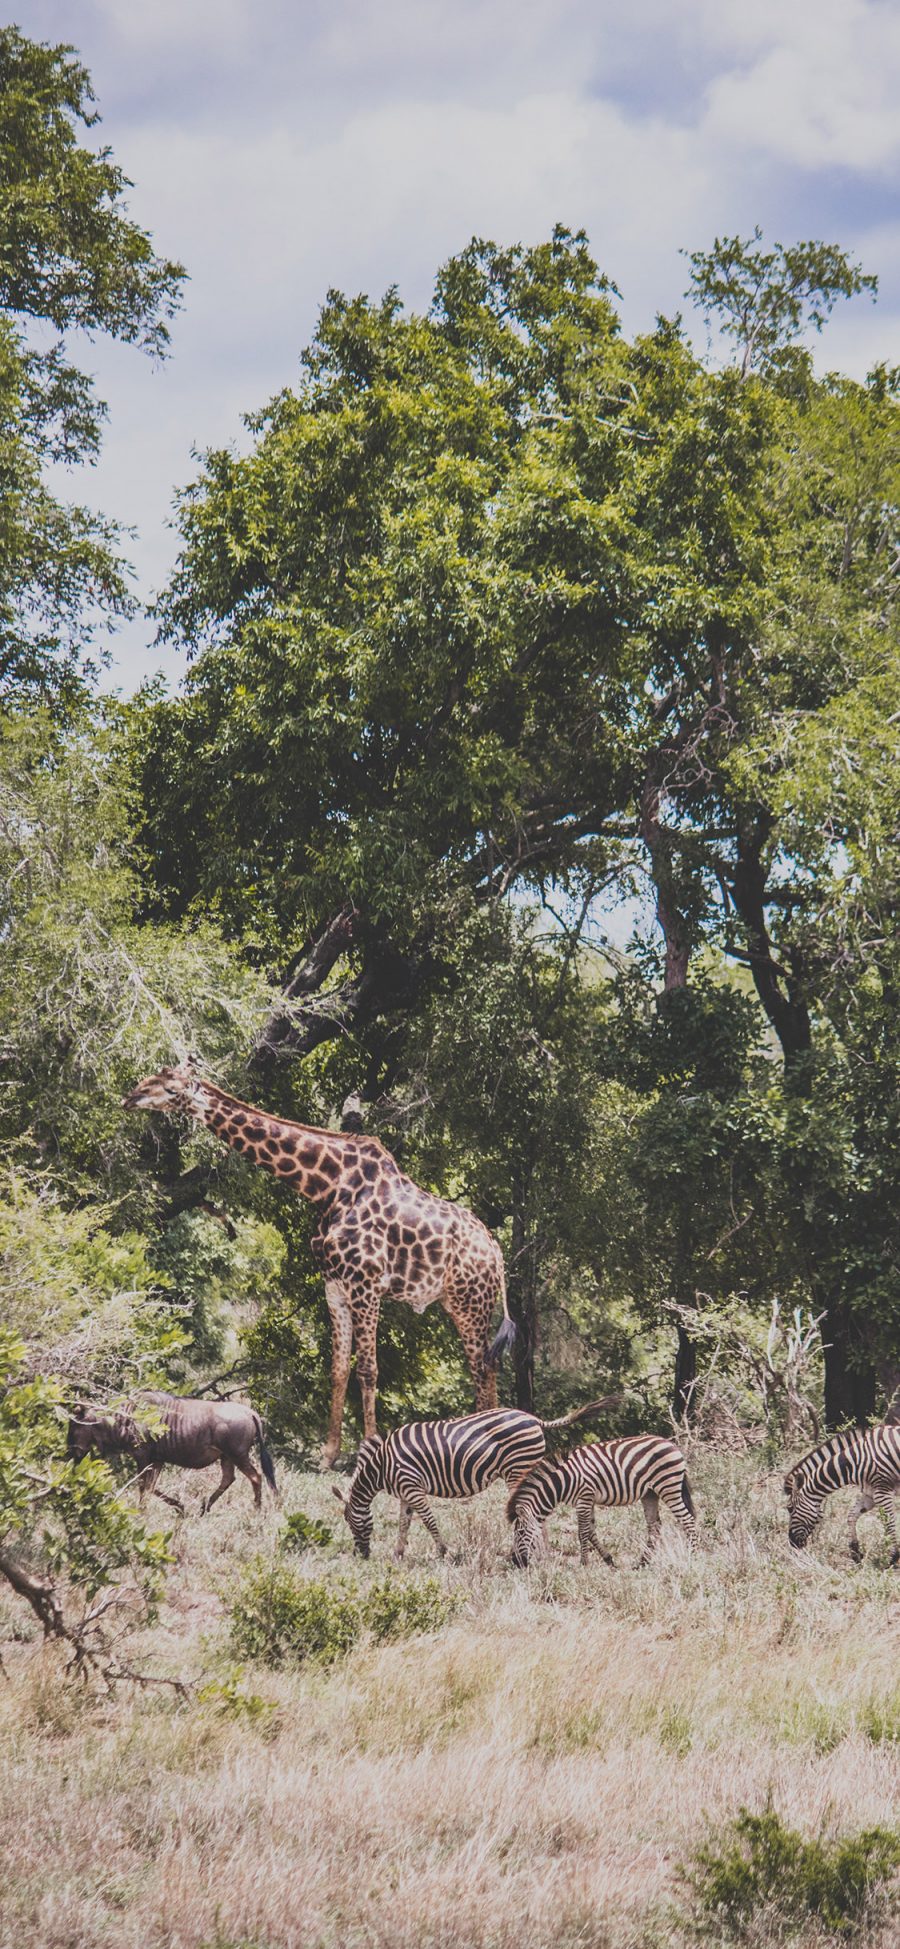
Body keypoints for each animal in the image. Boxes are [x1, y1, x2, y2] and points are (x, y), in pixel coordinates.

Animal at [123, 1068, 514, 1465]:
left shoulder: (366, 1285)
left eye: (171, 1089)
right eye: (154, 1075)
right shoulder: (335, 1286)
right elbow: (338, 1369)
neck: (326, 1186)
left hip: (470, 1302)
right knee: (488, 1364)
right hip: (459, 1301)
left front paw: (368, 1450)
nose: (130, 1097)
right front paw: (328, 1455)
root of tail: (496, 1252)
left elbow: (368, 1370)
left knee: (483, 1366)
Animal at [331, 1395, 619, 1559]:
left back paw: (533, 1553)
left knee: (531, 1512)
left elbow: (429, 1521)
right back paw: (541, 1552)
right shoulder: (405, 1492)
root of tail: (536, 1420)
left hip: (518, 1468)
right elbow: (404, 1524)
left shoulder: (412, 1486)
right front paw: (398, 1553)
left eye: (350, 1521)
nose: (361, 1555)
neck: (381, 1465)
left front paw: (444, 1553)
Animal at [506, 1434, 697, 1566]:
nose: (516, 1562)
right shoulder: (587, 1500)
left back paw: (691, 1556)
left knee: (687, 1520)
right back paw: (642, 1562)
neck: (565, 1480)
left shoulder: (584, 1498)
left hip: (668, 1486)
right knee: (654, 1526)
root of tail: (672, 1445)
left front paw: (584, 1563)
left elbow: (582, 1532)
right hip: (650, 1494)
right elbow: (591, 1531)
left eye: (520, 1533)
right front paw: (608, 1559)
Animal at [779, 1426, 900, 1559]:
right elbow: (851, 1515)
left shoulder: (882, 1492)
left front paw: (894, 1556)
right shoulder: (870, 1494)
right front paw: (855, 1551)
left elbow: (889, 1523)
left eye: (790, 1508)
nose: (792, 1543)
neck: (855, 1462)